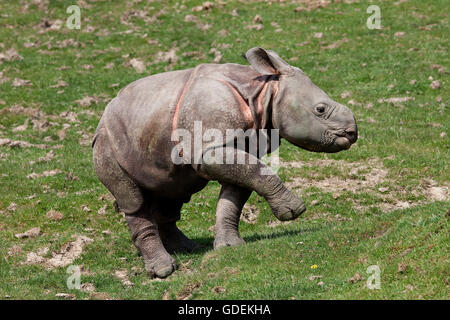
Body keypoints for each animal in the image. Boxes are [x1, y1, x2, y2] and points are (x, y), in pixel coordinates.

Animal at [93, 47, 356, 278]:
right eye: (320, 109)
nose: (352, 133)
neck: (264, 92)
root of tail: (103, 115)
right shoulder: (208, 150)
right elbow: (252, 174)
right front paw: (293, 211)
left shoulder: (246, 145)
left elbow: (239, 191)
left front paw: (230, 247)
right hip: (106, 143)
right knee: (134, 200)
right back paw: (164, 270)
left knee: (173, 190)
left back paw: (186, 249)